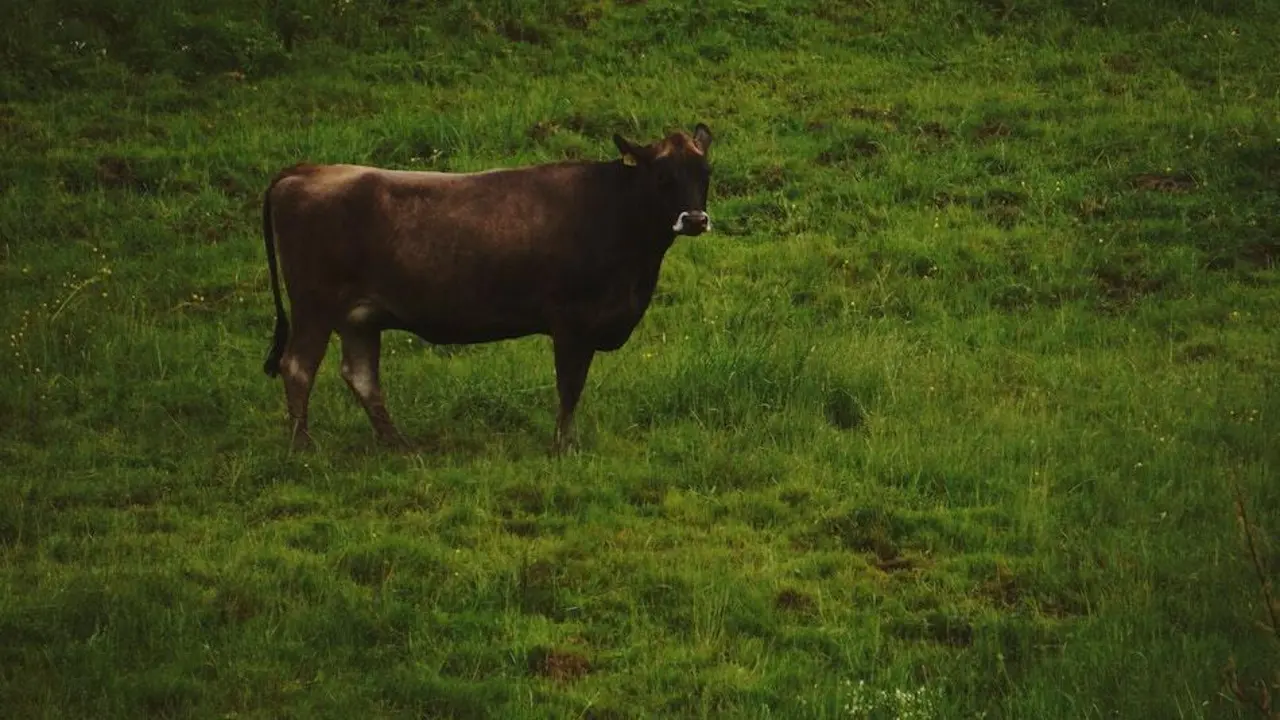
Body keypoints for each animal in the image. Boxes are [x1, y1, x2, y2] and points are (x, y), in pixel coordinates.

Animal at [260, 123, 714, 451]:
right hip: (315, 305)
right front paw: (563, 446)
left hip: (359, 317)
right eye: (662, 176)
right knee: (298, 366)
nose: (694, 219)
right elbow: (569, 387)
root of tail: (308, 170)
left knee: (360, 375)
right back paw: (303, 447)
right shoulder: (571, 322)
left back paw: (398, 444)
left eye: (705, 173)